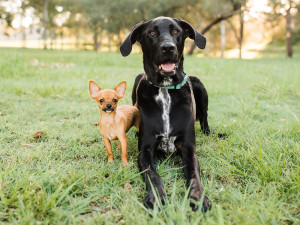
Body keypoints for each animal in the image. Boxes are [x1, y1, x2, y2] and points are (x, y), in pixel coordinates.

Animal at [119, 16, 211, 212]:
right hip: (138, 79)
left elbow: (194, 175)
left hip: (199, 84)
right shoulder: (145, 151)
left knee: (204, 118)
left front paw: (199, 197)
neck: (166, 89)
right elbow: (153, 175)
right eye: (152, 33)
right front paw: (156, 196)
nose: (168, 48)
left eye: (176, 31)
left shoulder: (188, 148)